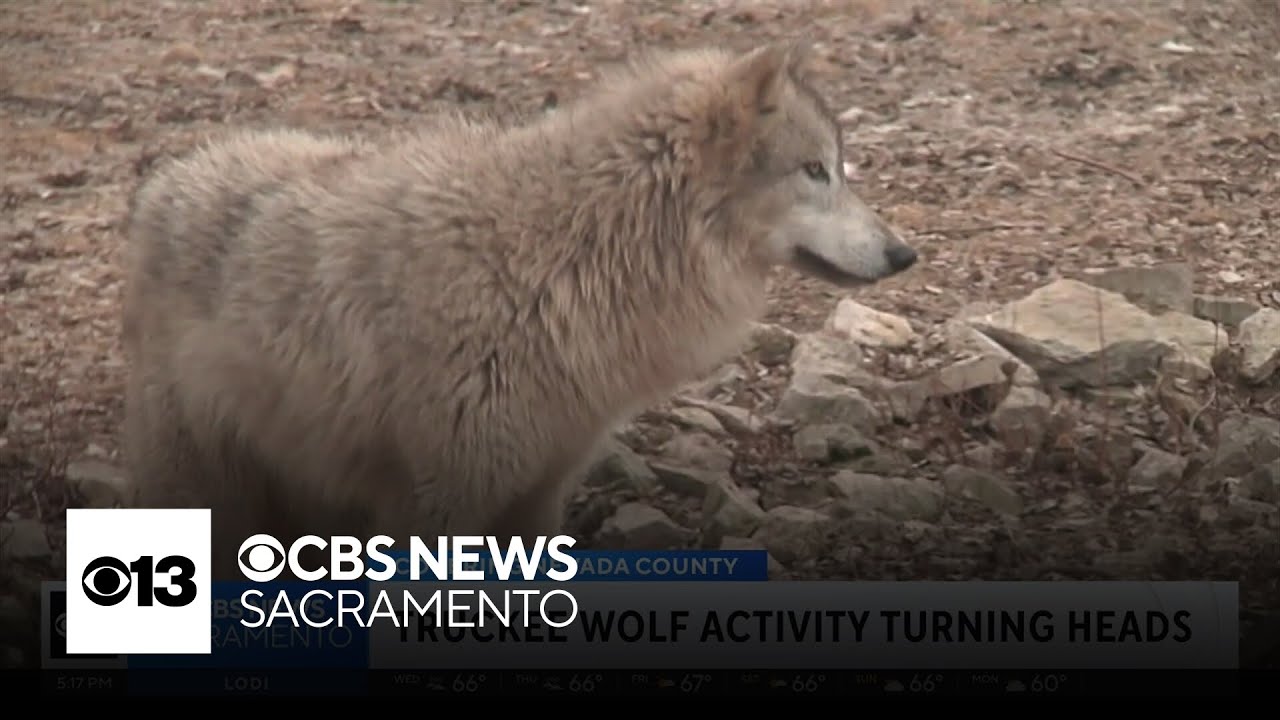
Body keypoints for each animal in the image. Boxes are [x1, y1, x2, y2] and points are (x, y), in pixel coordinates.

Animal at [120, 41, 918, 579]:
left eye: (837, 168)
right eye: (815, 171)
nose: (905, 253)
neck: (567, 255)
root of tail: (171, 176)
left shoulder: (539, 493)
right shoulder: (440, 500)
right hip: (208, 492)